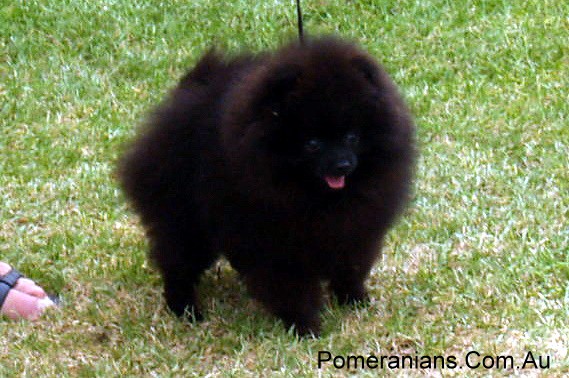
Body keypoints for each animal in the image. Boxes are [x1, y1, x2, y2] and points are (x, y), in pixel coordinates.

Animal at [118, 37, 412, 336]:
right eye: (312, 144)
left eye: (352, 137)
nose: (342, 164)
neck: (315, 197)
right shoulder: (275, 242)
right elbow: (292, 289)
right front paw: (304, 326)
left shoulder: (356, 232)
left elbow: (350, 268)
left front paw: (354, 300)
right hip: (185, 220)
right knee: (177, 263)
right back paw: (185, 308)